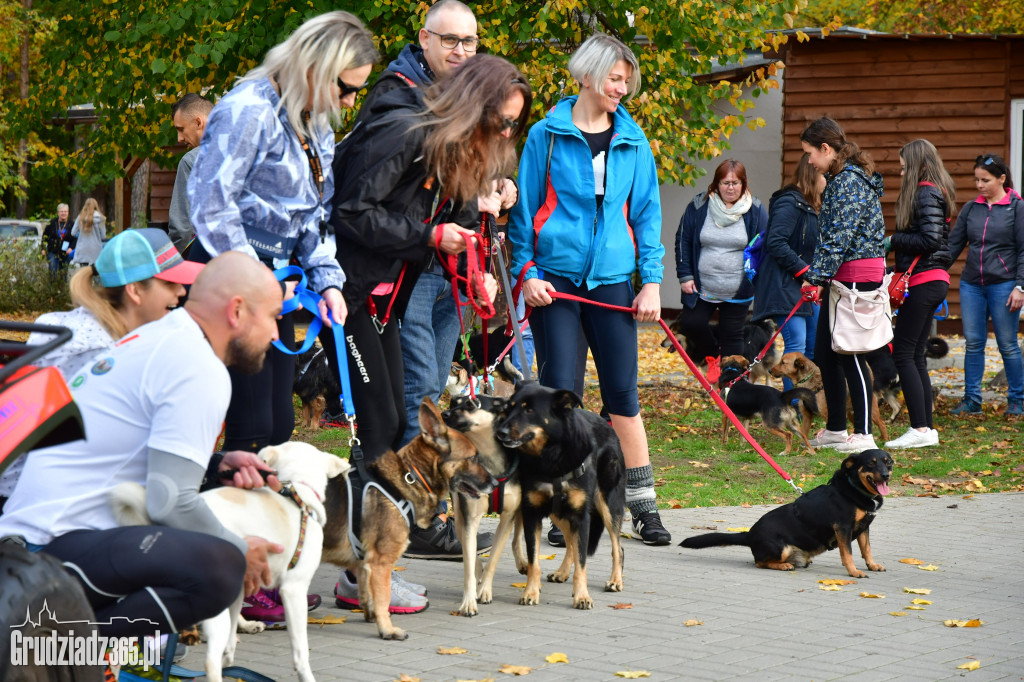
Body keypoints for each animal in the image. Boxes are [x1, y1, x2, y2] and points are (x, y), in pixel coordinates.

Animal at [110, 440, 346, 679]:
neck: (296, 487)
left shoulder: (240, 590)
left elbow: (231, 642)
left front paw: (230, 660)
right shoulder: (293, 589)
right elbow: (301, 653)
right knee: (209, 662)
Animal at [319, 395, 495, 638]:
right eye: (473, 457)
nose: (495, 483)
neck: (411, 476)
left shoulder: (365, 562)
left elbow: (367, 593)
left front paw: (370, 615)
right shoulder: (380, 562)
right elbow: (382, 598)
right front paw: (387, 628)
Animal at [440, 391, 524, 614]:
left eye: (471, 405)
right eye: (453, 402)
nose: (444, 413)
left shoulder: (507, 516)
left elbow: (493, 559)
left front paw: (485, 590)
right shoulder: (469, 516)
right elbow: (469, 563)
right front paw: (469, 601)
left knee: (517, 536)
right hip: (459, 512)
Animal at [489, 378, 622, 606]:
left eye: (529, 410)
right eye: (509, 408)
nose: (500, 433)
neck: (551, 456)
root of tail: (609, 425)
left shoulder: (581, 516)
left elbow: (582, 562)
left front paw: (582, 596)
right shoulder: (532, 514)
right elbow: (534, 561)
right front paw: (530, 593)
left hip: (607, 504)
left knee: (616, 546)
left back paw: (615, 580)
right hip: (557, 511)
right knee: (569, 543)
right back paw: (562, 572)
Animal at [684, 448, 892, 577]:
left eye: (888, 462)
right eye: (871, 464)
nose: (886, 475)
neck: (853, 489)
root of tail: (749, 534)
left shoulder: (864, 528)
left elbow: (866, 550)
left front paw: (872, 565)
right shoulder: (843, 528)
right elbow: (847, 553)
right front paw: (854, 572)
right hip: (781, 548)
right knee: (759, 562)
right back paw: (783, 565)